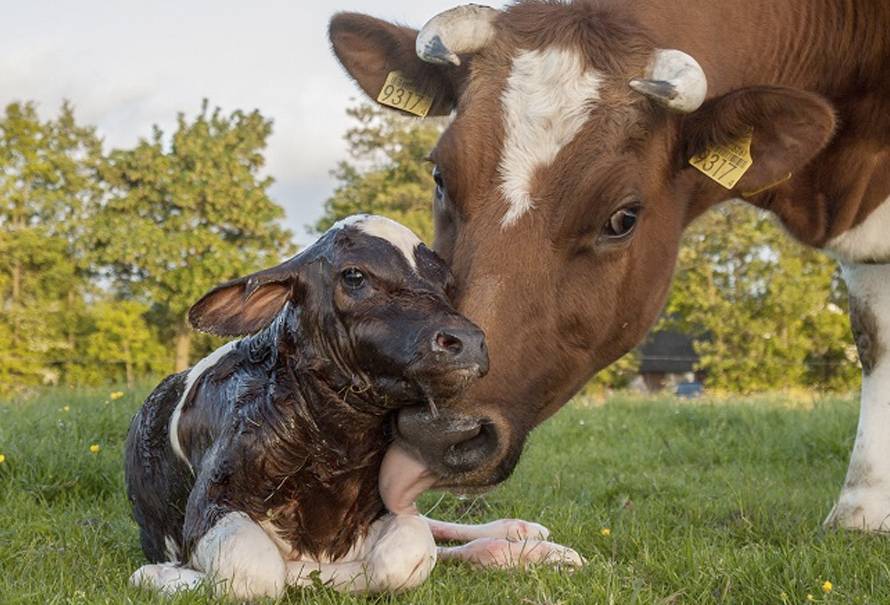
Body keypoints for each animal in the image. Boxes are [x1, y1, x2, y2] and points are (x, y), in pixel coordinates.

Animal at [125, 215, 486, 596]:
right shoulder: (211, 501)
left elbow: (408, 554)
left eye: (446, 283)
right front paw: (162, 575)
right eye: (354, 275)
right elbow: (255, 571)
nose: (468, 341)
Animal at [330, 0, 888, 528]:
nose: (438, 429)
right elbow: (871, 337)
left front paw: (861, 511)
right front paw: (861, 510)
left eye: (622, 218)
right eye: (441, 177)